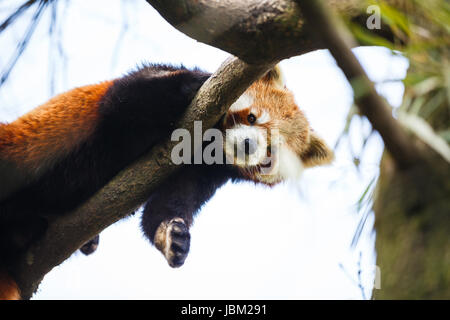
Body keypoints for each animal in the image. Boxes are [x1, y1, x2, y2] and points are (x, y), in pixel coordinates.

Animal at [0, 63, 330, 300]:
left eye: (271, 152)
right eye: (252, 118)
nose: (248, 145)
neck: (207, 145)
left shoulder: (201, 172)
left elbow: (165, 206)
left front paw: (171, 235)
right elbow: (130, 98)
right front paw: (197, 80)